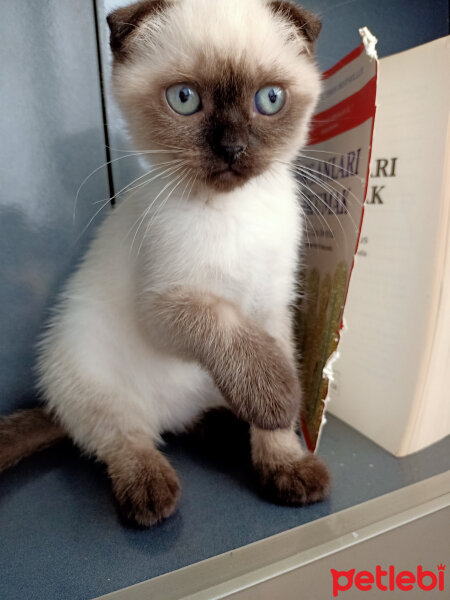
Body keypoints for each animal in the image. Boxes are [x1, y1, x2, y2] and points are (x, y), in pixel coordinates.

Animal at [0, 0, 330, 524]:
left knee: (184, 422)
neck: (233, 212)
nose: (233, 149)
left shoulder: (272, 310)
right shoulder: (167, 306)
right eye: (184, 99)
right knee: (125, 438)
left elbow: (274, 399)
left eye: (270, 99)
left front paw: (286, 465)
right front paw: (278, 400)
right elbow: (229, 329)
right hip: (85, 373)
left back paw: (227, 430)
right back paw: (151, 493)